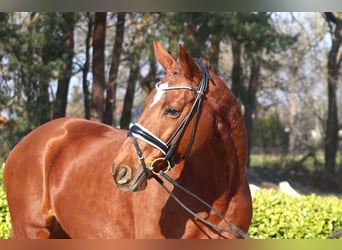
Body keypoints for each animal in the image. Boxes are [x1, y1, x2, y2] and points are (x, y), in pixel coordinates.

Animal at [4, 41, 252, 238]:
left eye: (172, 110)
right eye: (147, 102)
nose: (120, 170)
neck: (220, 197)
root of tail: (27, 141)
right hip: (32, 231)